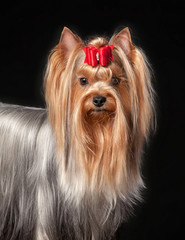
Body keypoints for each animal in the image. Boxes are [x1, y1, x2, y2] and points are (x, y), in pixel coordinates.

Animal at [0, 26, 155, 240]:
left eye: (116, 80)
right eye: (83, 81)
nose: (98, 99)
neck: (97, 133)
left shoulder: (96, 219)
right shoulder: (47, 210)